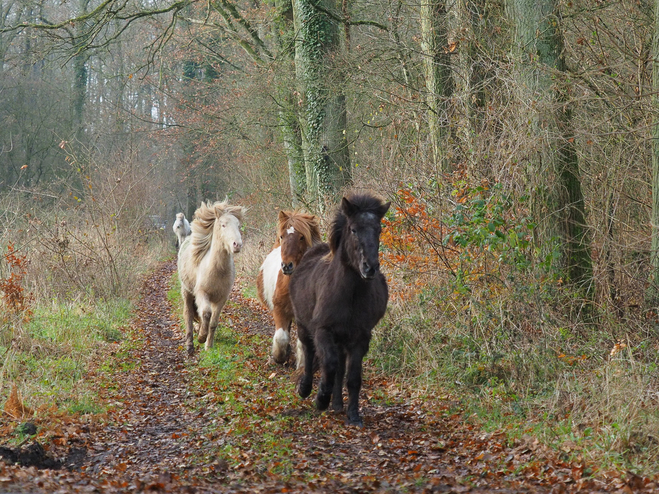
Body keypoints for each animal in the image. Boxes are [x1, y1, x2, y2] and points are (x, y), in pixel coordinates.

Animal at [178, 201, 245, 356]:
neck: (217, 270)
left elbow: (213, 322)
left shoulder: (221, 299)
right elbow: (206, 314)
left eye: (238, 225)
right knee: (188, 314)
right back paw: (190, 345)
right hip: (187, 291)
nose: (237, 245)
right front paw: (201, 337)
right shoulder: (202, 294)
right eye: (223, 225)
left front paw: (208, 345)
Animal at [256, 209, 320, 366]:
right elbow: (281, 338)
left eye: (302, 237)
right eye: (282, 236)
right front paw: (279, 356)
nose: (286, 266)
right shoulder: (279, 311)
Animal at [290, 193, 392, 424]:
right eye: (353, 229)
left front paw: (353, 414)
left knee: (340, 368)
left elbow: (352, 376)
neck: (349, 295)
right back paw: (306, 388)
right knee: (309, 353)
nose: (370, 267)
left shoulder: (360, 338)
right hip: (304, 327)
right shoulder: (323, 331)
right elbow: (328, 364)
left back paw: (337, 404)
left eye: (379, 229)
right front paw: (321, 399)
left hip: (343, 340)